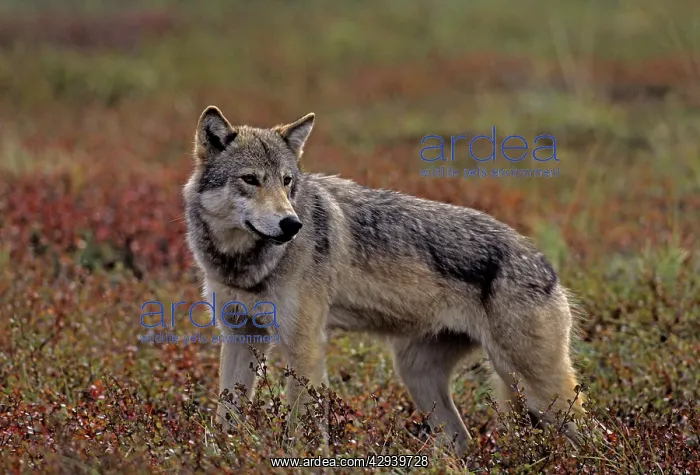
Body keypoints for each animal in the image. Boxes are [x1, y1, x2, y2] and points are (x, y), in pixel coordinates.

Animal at [182, 105, 585, 455]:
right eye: (250, 179)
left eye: (287, 182)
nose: (292, 224)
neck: (243, 264)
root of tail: (548, 267)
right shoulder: (240, 337)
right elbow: (225, 414)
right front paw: (222, 456)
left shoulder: (305, 345)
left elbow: (301, 424)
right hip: (419, 376)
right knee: (463, 439)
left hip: (539, 393)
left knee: (594, 435)